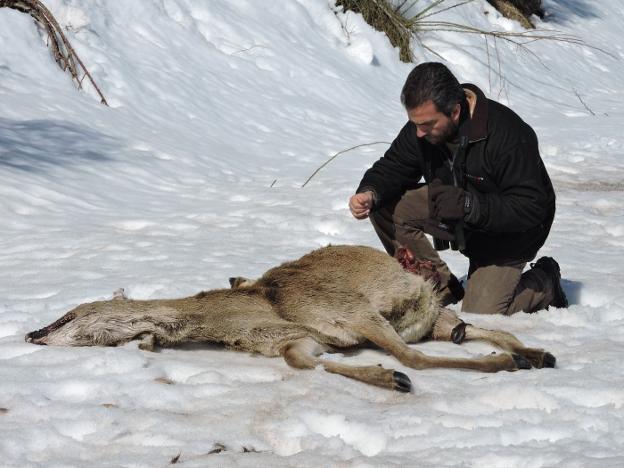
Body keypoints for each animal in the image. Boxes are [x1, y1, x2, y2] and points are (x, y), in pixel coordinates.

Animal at [25, 245, 556, 392]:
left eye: (67, 315)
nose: (32, 333)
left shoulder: (358, 313)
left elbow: (413, 361)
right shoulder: (297, 341)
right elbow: (308, 361)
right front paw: (387, 377)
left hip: (420, 313)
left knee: (459, 335)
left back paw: (516, 358)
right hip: (434, 319)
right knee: (477, 328)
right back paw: (536, 353)